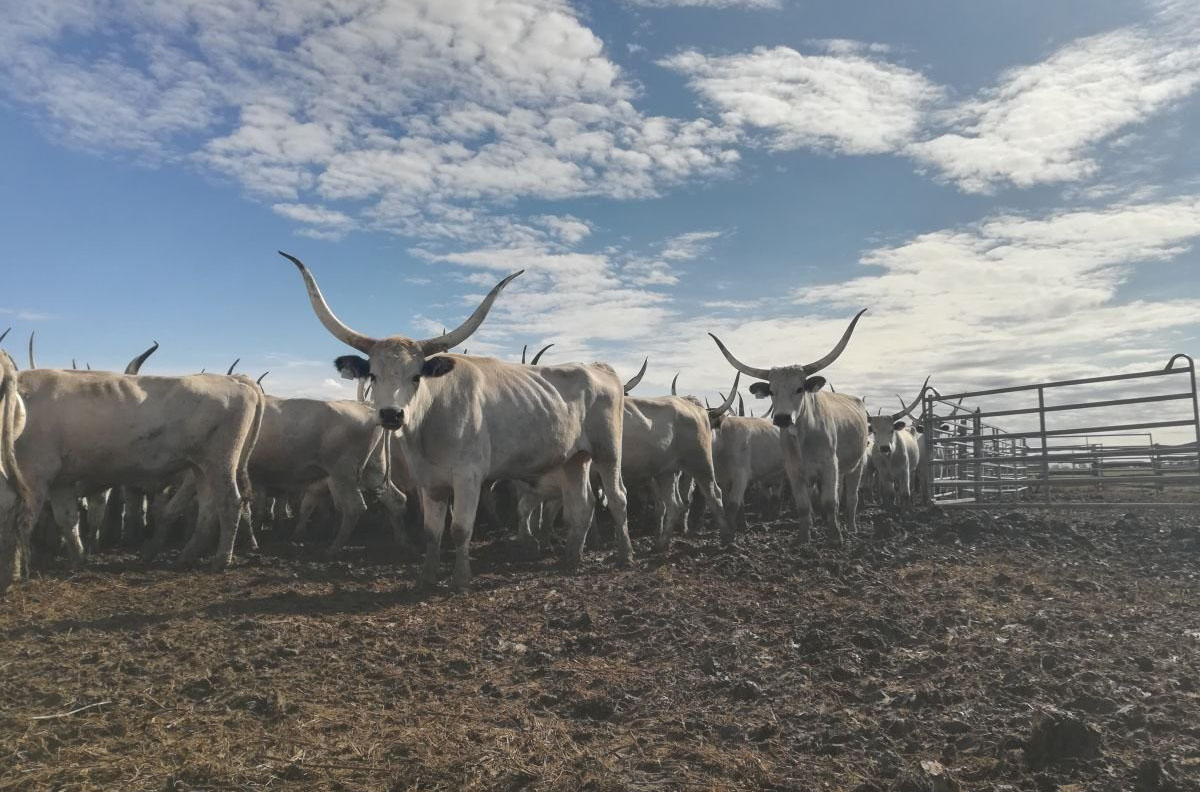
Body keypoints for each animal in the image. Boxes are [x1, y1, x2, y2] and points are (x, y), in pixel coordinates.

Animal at [280, 252, 638, 588]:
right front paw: (426, 577)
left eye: (416, 376)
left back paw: (625, 555)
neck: (430, 422)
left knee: (618, 498)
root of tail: (599, 368)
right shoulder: (429, 482)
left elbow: (461, 528)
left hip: (608, 451)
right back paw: (571, 559)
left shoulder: (469, 477)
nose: (392, 414)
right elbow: (432, 531)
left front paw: (461, 579)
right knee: (582, 505)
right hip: (574, 459)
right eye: (373, 375)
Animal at [705, 309, 868, 544]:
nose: (782, 418)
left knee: (851, 498)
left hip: (857, 465)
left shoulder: (830, 466)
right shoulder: (793, 471)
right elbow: (803, 506)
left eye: (799, 389)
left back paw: (852, 528)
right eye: (772, 391)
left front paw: (835, 539)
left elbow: (830, 502)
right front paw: (804, 538)